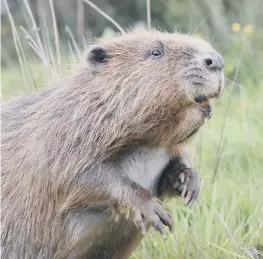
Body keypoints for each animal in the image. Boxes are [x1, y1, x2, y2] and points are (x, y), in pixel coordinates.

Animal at [0, 29, 225, 258]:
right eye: (156, 51)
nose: (216, 60)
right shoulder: (60, 137)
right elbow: (79, 177)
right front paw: (154, 211)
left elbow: (173, 167)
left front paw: (189, 182)